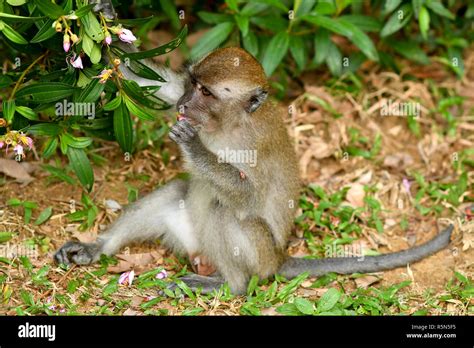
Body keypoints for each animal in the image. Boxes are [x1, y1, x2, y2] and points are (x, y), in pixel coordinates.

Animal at [53, 1, 454, 294]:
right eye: (193, 83)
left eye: (206, 93)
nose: (184, 104)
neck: (227, 124)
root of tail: (278, 259)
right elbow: (150, 84)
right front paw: (106, 18)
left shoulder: (253, 145)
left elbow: (247, 196)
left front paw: (195, 147)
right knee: (178, 192)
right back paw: (97, 248)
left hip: (259, 257)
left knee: (227, 210)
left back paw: (229, 285)